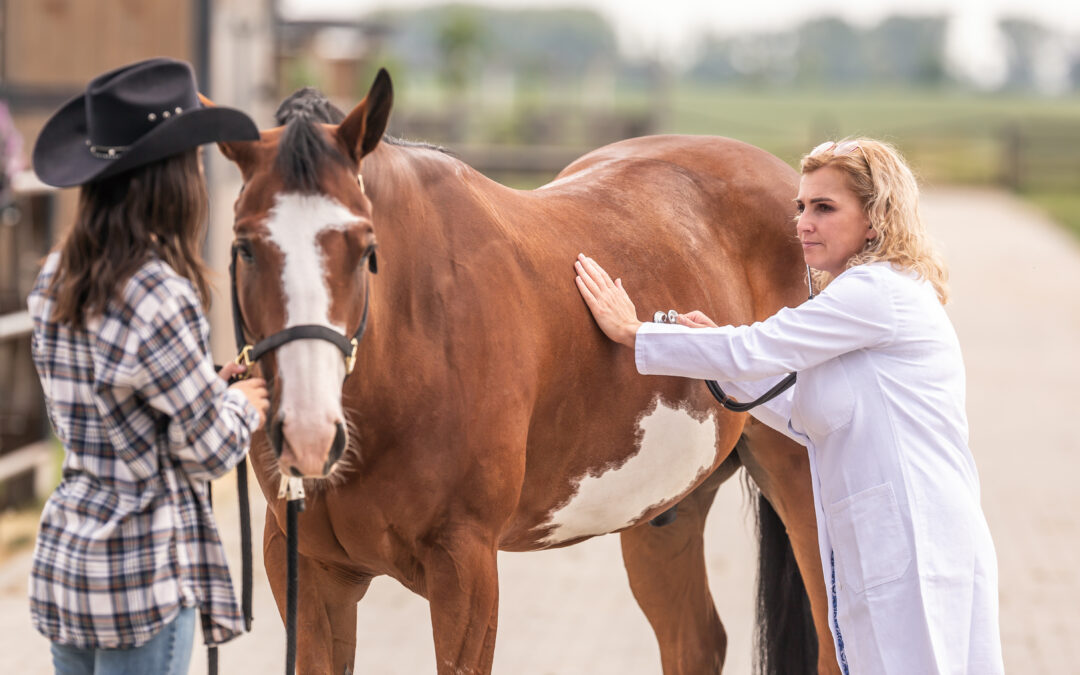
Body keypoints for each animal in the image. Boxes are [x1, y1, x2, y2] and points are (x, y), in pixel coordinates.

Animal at [210, 72, 833, 673]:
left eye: (366, 248)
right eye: (243, 245)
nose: (308, 434)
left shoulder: (466, 569)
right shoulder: (307, 570)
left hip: (802, 492)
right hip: (665, 514)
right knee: (696, 644)